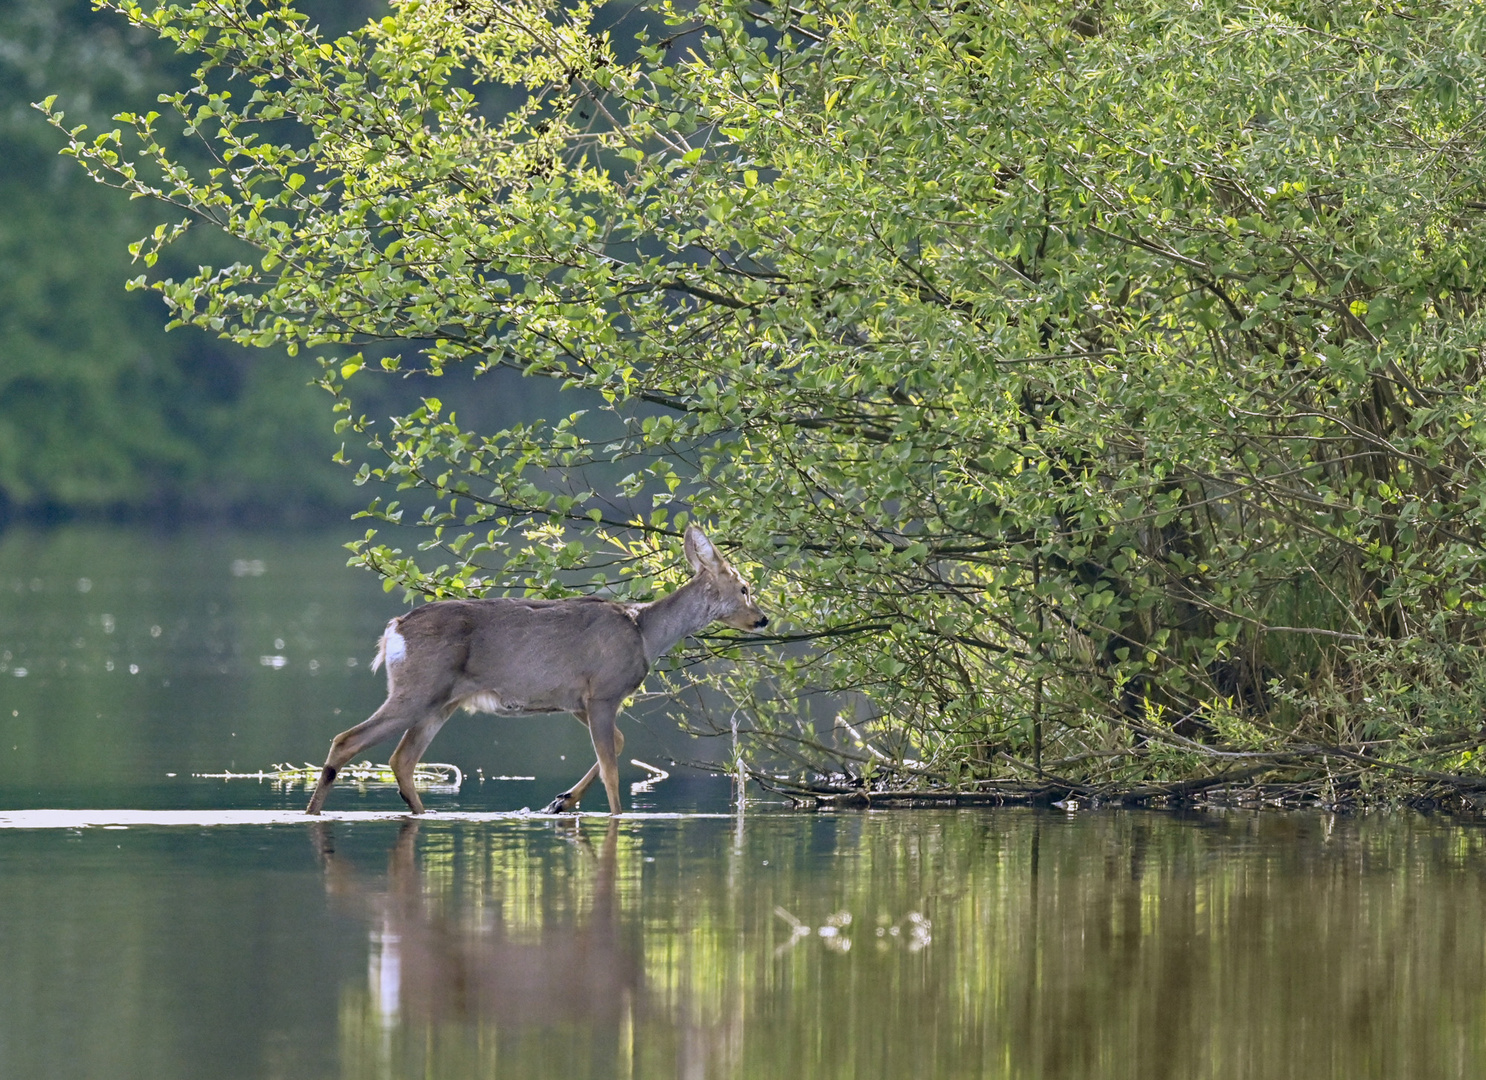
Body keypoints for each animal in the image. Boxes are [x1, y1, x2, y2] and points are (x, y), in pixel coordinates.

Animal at [301, 528, 766, 814]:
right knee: (348, 740)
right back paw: (312, 813)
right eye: (744, 588)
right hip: (417, 689)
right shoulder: (603, 691)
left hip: (441, 701)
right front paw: (611, 814)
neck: (646, 632)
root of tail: (393, 629)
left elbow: (616, 744)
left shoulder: (576, 699)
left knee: (402, 759)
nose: (761, 619)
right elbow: (612, 767)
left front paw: (562, 801)